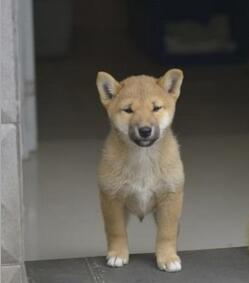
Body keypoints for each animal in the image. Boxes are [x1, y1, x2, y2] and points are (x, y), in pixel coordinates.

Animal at [96, 69, 184, 272]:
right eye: (128, 110)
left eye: (156, 108)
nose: (145, 130)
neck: (143, 159)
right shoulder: (111, 198)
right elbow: (116, 231)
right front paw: (118, 254)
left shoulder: (171, 198)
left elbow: (166, 233)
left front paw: (167, 257)